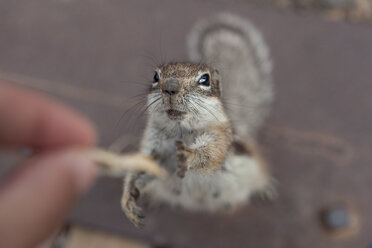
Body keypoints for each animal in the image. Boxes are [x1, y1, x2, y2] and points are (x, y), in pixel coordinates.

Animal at [120, 13, 274, 228]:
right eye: (155, 76)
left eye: (205, 80)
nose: (170, 87)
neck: (180, 130)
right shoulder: (152, 146)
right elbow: (142, 168)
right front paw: (128, 198)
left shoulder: (221, 137)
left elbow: (211, 155)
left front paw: (188, 155)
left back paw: (264, 189)